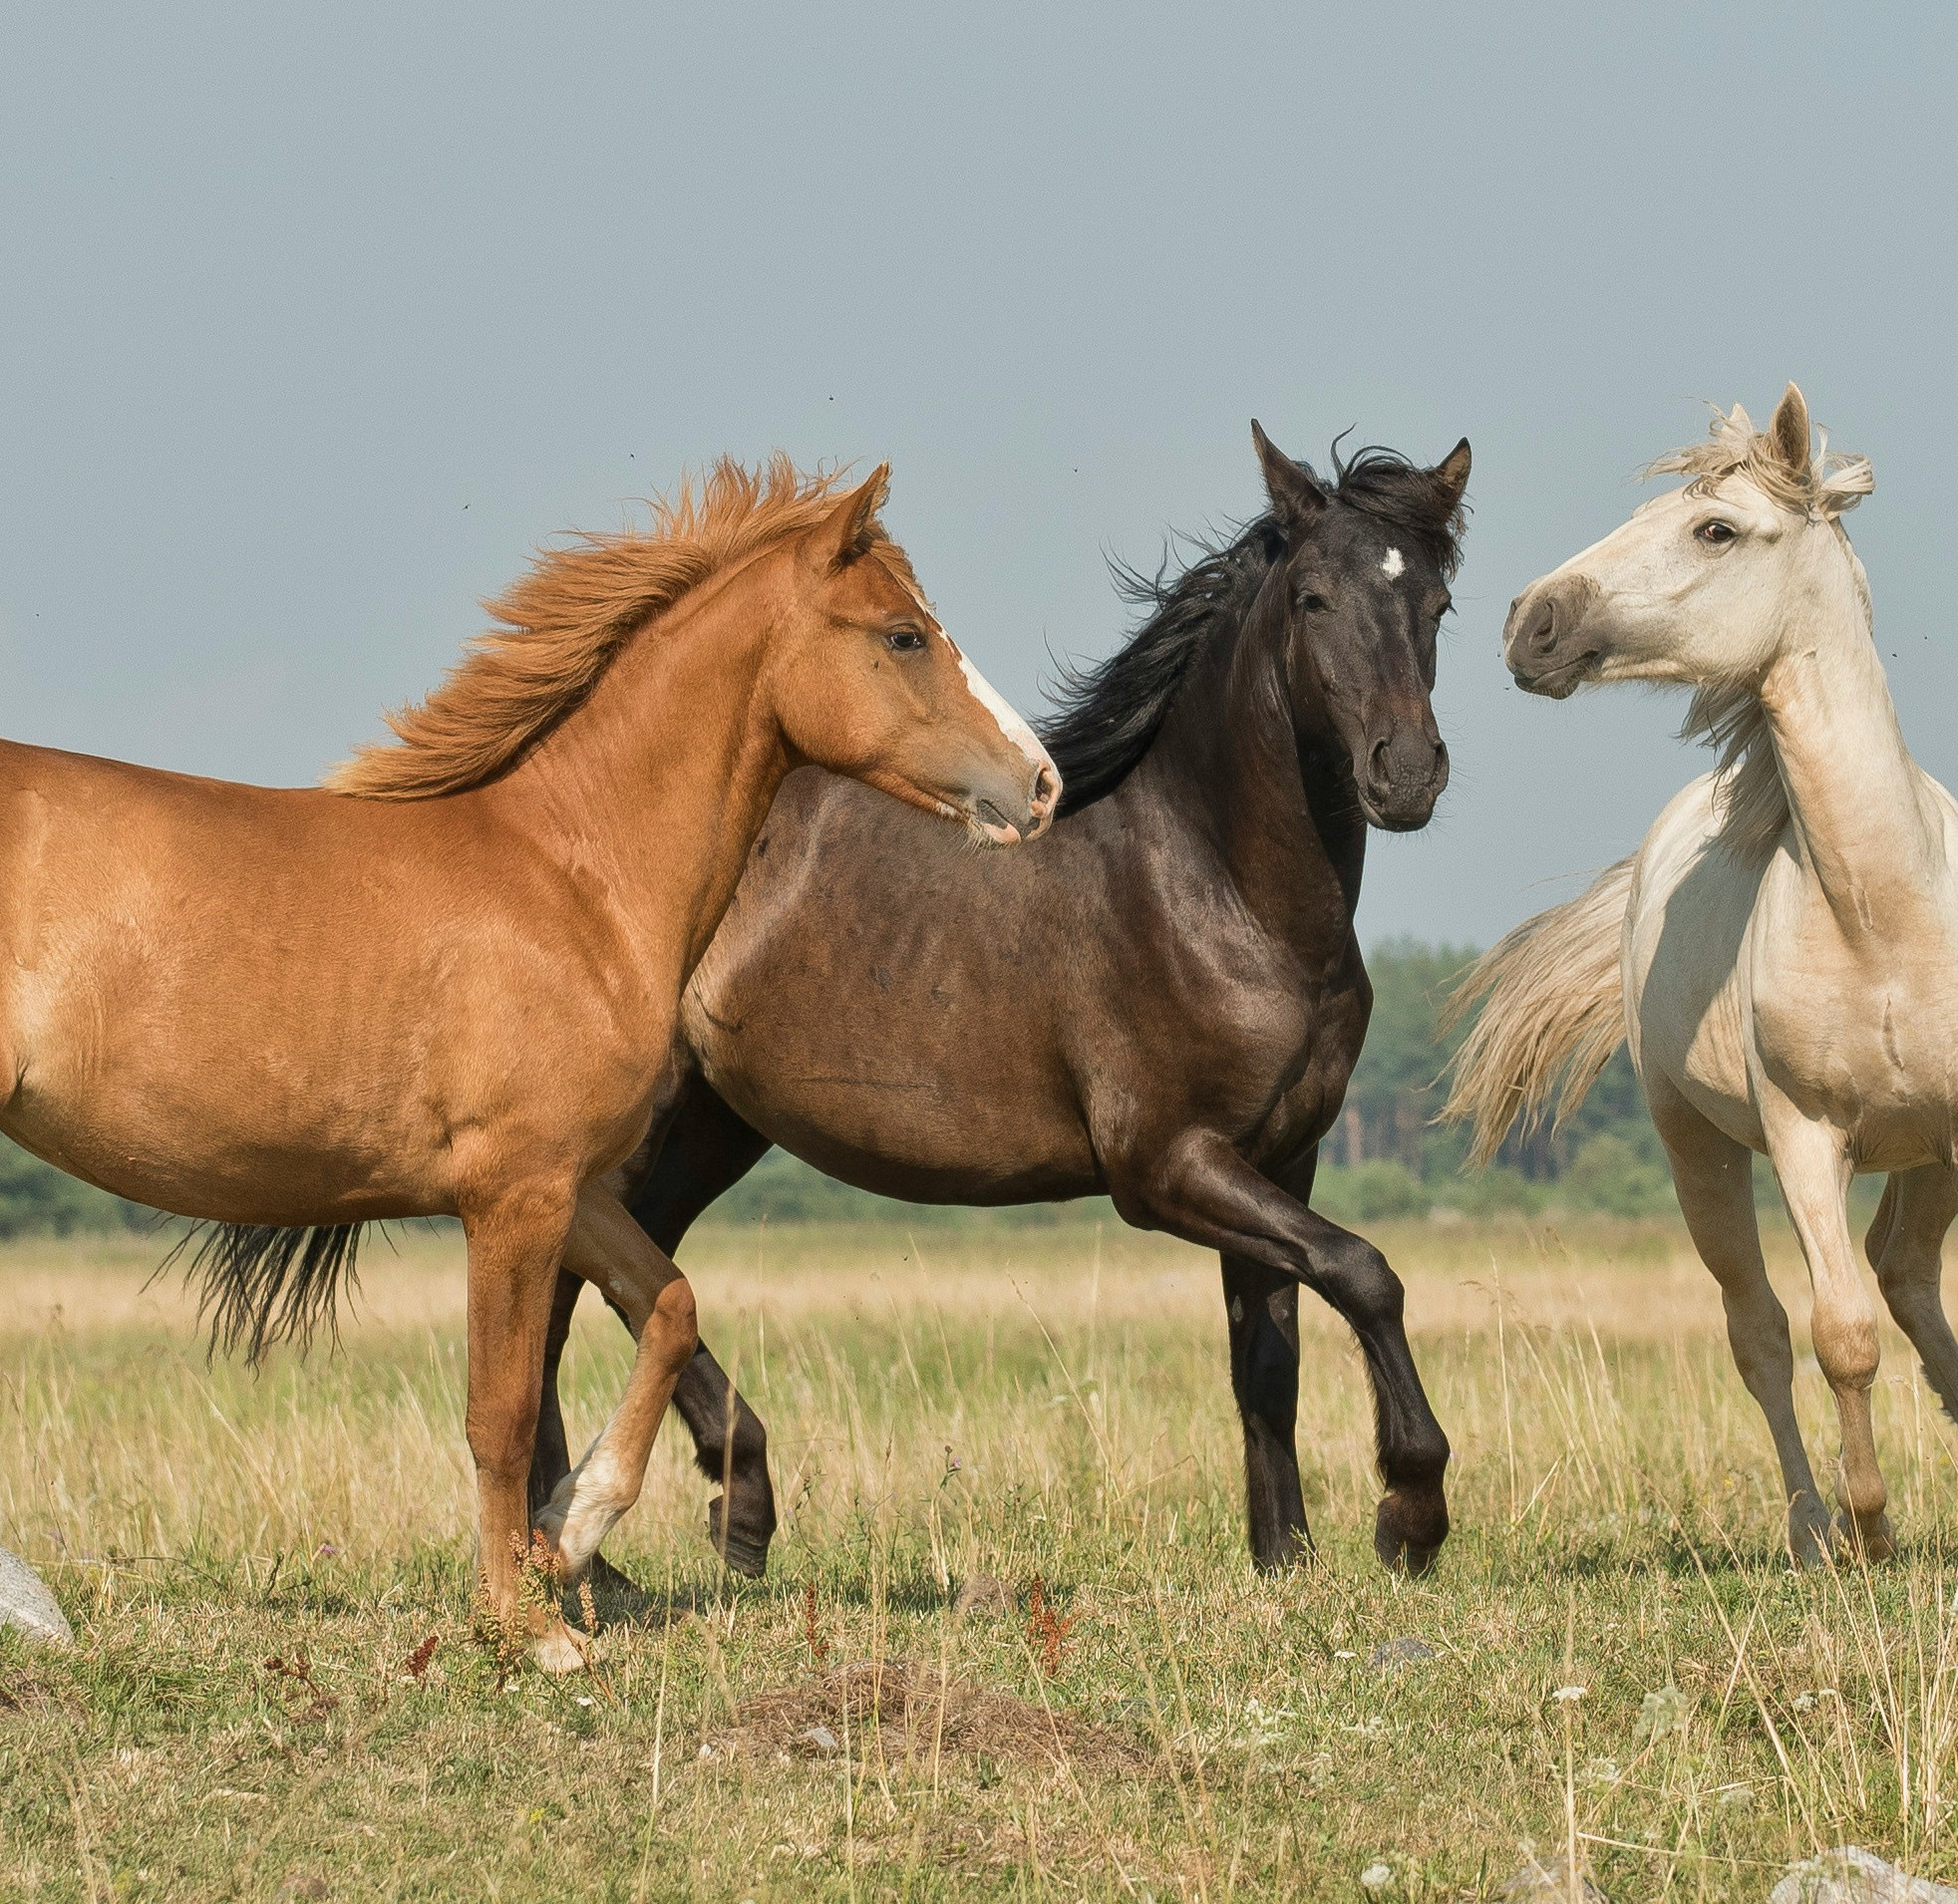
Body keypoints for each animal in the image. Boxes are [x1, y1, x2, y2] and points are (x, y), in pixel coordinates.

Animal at [16, 456, 1056, 1667]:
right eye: (903, 635)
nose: (1040, 784)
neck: (570, 877)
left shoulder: (570, 1183)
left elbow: (670, 1308)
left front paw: (572, 1529)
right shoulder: (511, 1195)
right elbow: (501, 1412)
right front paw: (525, 1624)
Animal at [527, 420, 1472, 1582]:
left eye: (1437, 603)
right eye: (1312, 598)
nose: (1406, 773)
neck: (1215, 888)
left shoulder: (1276, 1159)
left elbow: (1269, 1359)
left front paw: (1283, 1558)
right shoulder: (1165, 1165)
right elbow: (1364, 1270)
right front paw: (1409, 1513)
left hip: (711, 1124)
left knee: (631, 1275)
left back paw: (704, 1515)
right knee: (559, 1295)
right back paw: (594, 1544)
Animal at [1443, 385, 1951, 1564]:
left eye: (1715, 529)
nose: (1529, 622)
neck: (1885, 916)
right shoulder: (1805, 1137)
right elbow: (1838, 1334)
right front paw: (1869, 1532)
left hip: (1919, 1155)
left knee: (1904, 1271)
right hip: (1697, 1152)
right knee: (1762, 1328)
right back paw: (1812, 1530)